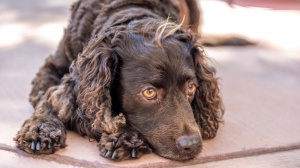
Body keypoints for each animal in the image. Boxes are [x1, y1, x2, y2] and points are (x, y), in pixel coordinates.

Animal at [14, 0, 223, 161]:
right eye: (149, 92)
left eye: (191, 87)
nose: (192, 145)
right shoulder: (51, 69)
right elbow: (47, 98)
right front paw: (40, 130)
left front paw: (124, 136)